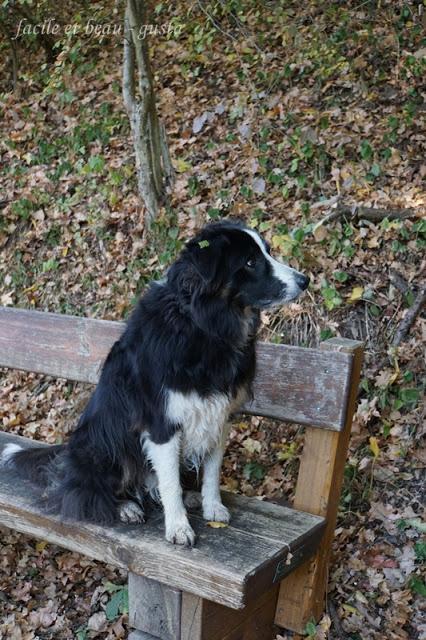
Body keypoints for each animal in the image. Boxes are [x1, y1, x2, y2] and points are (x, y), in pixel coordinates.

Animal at [0, 220, 306, 544]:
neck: (203, 326)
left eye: (267, 252)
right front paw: (178, 527)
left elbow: (212, 469)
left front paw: (212, 506)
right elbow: (170, 482)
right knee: (86, 492)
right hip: (104, 442)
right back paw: (124, 506)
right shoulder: (162, 423)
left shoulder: (219, 415)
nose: (305, 280)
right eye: (250, 262)